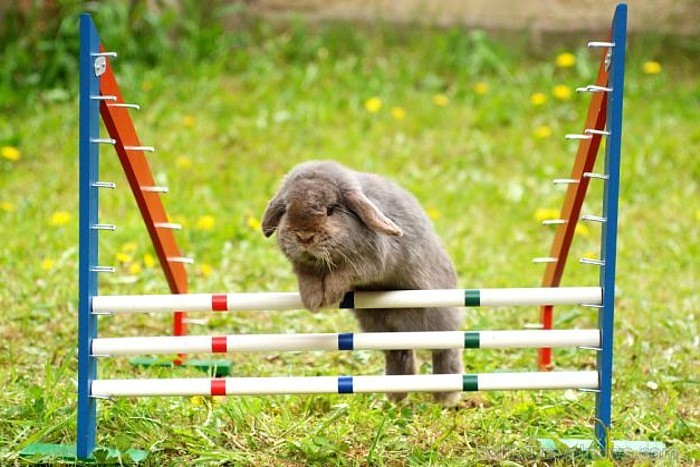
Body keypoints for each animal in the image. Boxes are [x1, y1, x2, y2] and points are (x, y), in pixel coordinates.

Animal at [262, 160, 464, 406]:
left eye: (330, 209)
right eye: (287, 209)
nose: (304, 236)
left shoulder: (368, 261)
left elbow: (343, 274)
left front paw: (329, 294)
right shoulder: (303, 267)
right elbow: (307, 278)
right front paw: (313, 301)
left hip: (436, 318)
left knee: (446, 350)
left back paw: (445, 398)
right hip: (382, 329)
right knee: (399, 354)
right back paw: (396, 397)